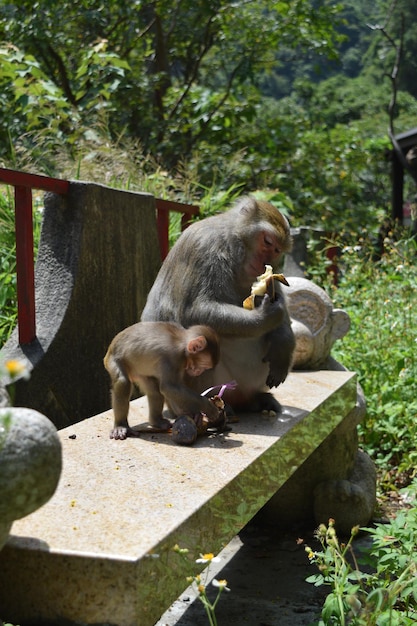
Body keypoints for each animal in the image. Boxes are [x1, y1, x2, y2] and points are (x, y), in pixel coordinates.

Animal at [141, 195, 294, 410]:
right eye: (267, 241)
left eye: (277, 250)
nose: (264, 261)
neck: (232, 245)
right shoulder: (204, 247)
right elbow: (194, 311)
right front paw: (265, 316)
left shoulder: (269, 274)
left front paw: (284, 343)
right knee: (200, 340)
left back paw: (254, 400)